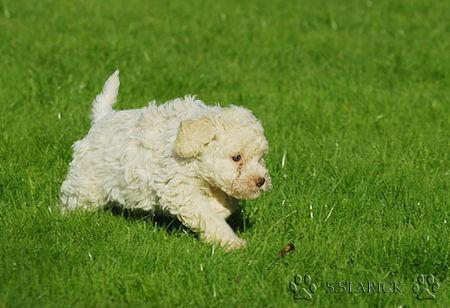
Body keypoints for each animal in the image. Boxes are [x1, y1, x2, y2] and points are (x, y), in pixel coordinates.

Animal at [59, 71, 270, 251]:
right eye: (236, 157)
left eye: (260, 158)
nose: (261, 181)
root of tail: (102, 119)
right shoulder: (179, 187)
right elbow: (207, 215)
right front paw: (231, 242)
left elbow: (226, 201)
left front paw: (220, 208)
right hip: (87, 183)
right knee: (74, 200)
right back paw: (65, 218)